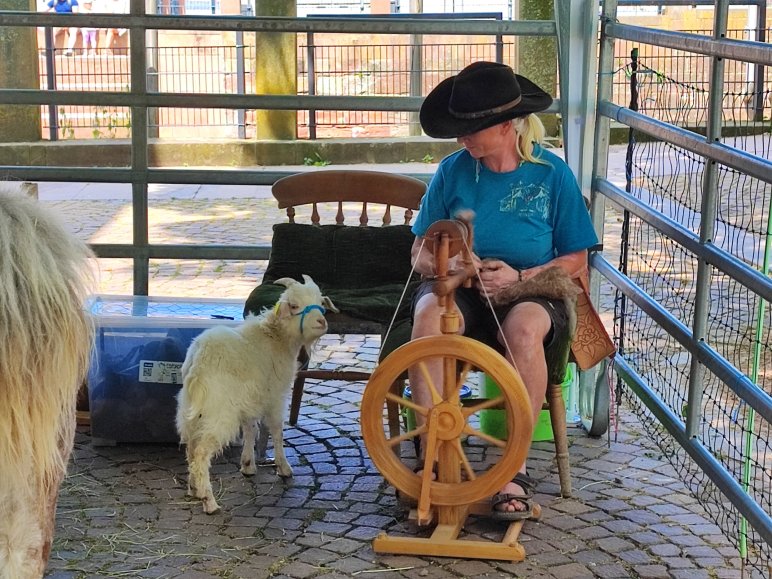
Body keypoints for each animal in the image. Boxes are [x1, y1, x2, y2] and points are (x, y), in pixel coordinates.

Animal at [175, 275, 337, 514]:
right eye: (294, 305)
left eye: (320, 303)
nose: (321, 323)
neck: (275, 337)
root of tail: (198, 363)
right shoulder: (276, 396)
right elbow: (277, 430)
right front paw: (283, 467)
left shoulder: (250, 398)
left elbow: (251, 428)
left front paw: (248, 465)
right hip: (219, 411)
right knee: (202, 451)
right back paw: (209, 501)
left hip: (190, 409)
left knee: (191, 446)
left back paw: (194, 489)